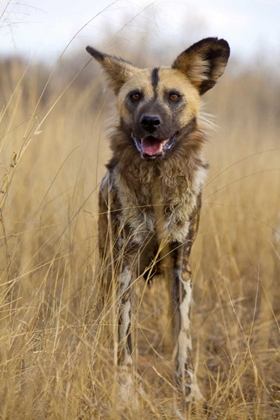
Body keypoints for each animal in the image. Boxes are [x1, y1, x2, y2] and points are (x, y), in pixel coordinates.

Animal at [86, 39, 230, 404]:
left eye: (174, 97)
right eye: (135, 96)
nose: (150, 122)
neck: (157, 182)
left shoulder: (181, 267)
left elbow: (184, 339)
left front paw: (189, 393)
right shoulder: (126, 265)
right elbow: (125, 340)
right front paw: (125, 393)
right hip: (107, 266)